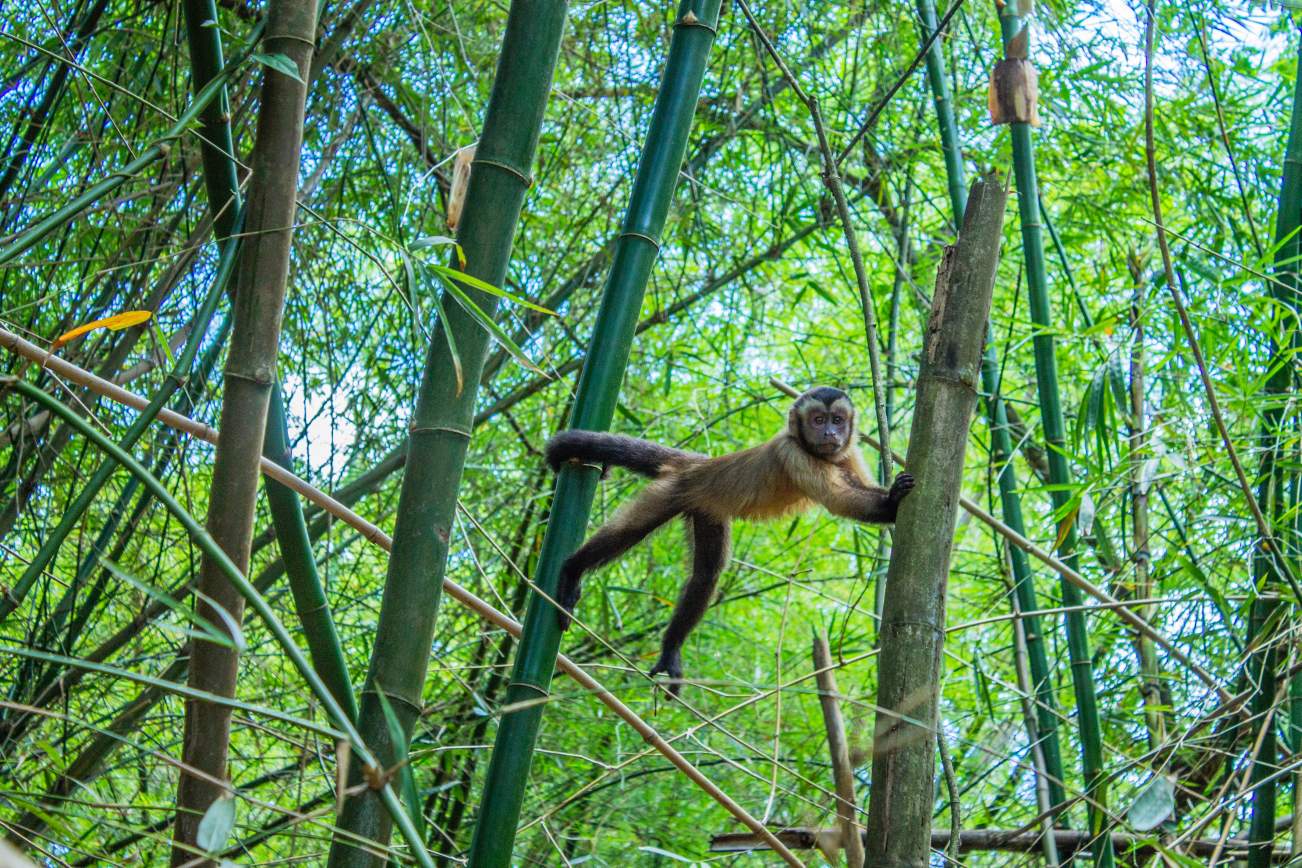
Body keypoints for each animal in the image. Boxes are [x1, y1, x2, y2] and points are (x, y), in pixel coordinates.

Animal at [544, 385, 911, 692]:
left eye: (838, 420)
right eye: (818, 420)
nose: (831, 433)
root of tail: (699, 465)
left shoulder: (848, 452)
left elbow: (858, 487)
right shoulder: (791, 452)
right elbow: (840, 500)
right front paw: (893, 502)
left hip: (707, 509)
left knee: (707, 575)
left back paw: (671, 650)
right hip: (672, 490)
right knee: (628, 532)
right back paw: (571, 570)